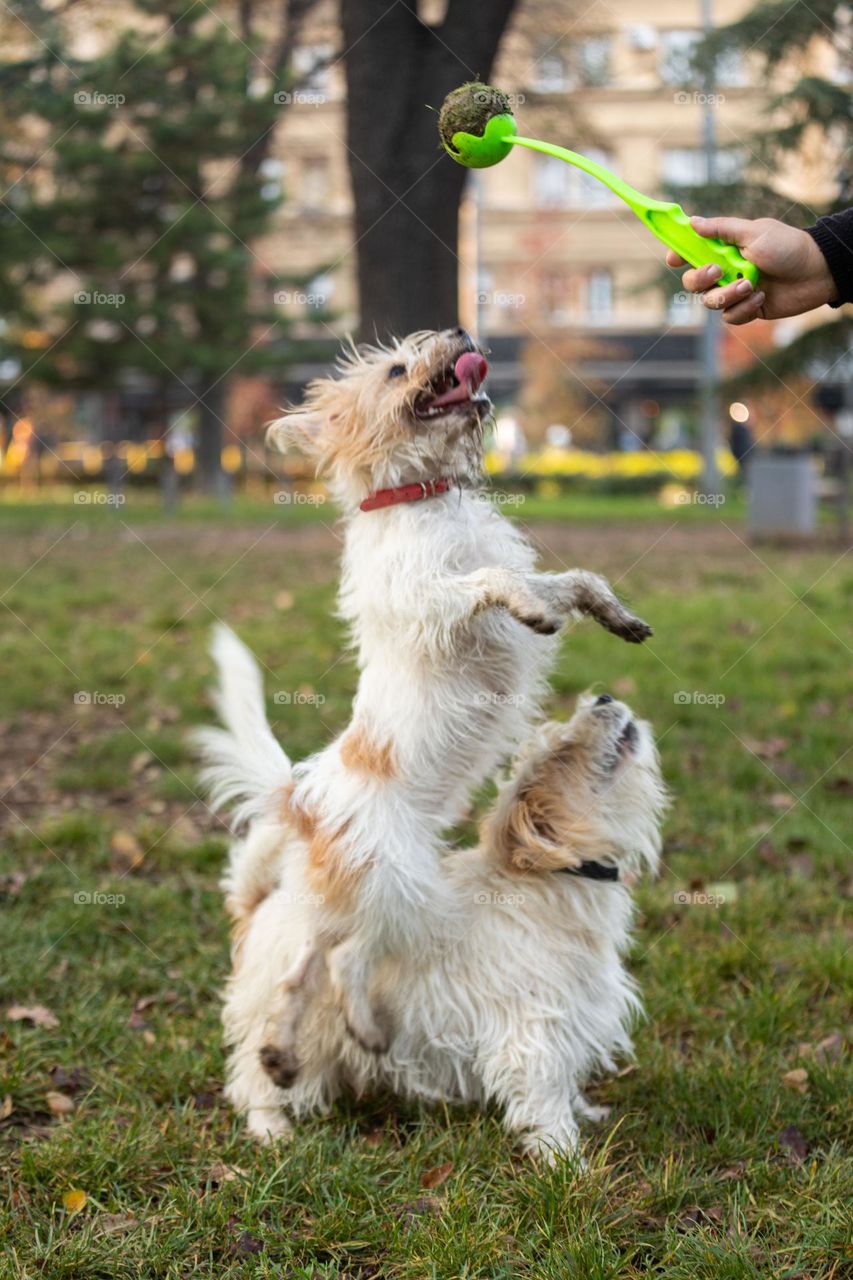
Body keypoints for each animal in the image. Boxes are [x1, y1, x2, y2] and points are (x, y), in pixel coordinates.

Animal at [192, 325, 650, 1126]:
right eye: (397, 368)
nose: (462, 334)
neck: (424, 499)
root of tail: (304, 798)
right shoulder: (433, 602)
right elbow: (494, 585)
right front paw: (529, 609)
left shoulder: (518, 570)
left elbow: (574, 580)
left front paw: (613, 614)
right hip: (388, 881)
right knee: (333, 959)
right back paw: (328, 1043)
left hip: (366, 891)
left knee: (314, 956)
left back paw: (307, 1045)